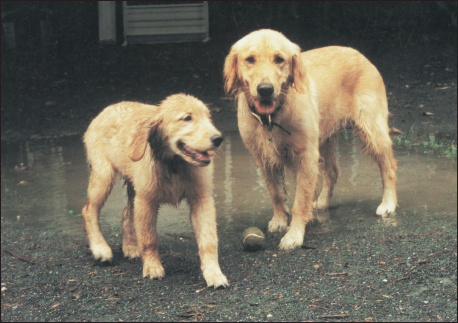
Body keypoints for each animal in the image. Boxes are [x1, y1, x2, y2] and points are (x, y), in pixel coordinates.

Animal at [81, 93, 228, 288]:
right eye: (187, 118)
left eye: (208, 117)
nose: (218, 139)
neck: (174, 164)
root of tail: (107, 109)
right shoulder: (146, 200)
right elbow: (149, 238)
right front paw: (152, 267)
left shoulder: (201, 199)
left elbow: (208, 240)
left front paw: (213, 273)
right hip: (103, 174)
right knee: (89, 210)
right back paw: (100, 249)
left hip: (133, 185)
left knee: (126, 212)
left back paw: (130, 247)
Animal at [225, 29, 398, 251]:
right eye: (250, 59)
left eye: (279, 59)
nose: (265, 89)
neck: (272, 118)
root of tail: (361, 55)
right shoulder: (264, 159)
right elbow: (277, 194)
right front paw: (279, 221)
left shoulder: (306, 156)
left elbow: (300, 201)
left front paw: (294, 235)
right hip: (324, 139)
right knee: (333, 172)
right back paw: (322, 202)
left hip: (372, 130)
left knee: (389, 167)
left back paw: (388, 204)